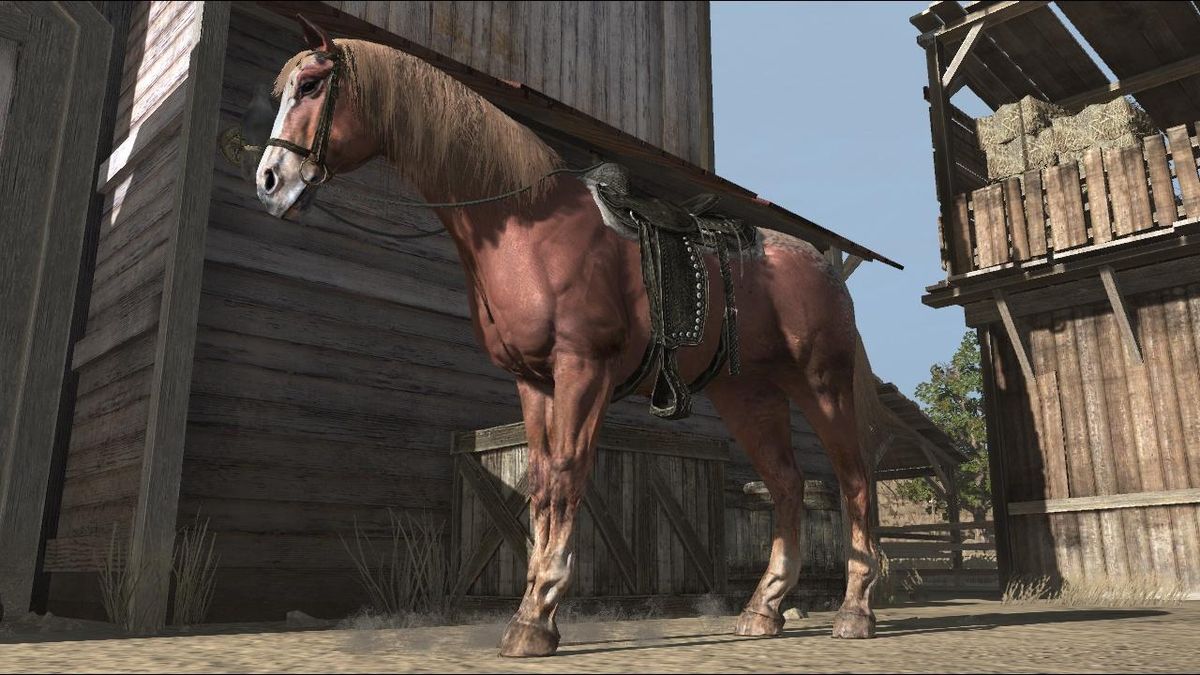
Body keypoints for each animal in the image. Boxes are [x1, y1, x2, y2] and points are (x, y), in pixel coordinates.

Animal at [255, 17, 887, 657]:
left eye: (311, 86)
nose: (269, 183)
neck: (527, 228)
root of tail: (822, 265)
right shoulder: (533, 382)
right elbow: (539, 483)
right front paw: (535, 611)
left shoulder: (583, 370)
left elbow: (566, 476)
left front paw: (536, 617)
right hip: (750, 395)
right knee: (786, 486)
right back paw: (764, 610)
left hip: (822, 385)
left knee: (855, 482)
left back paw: (854, 612)